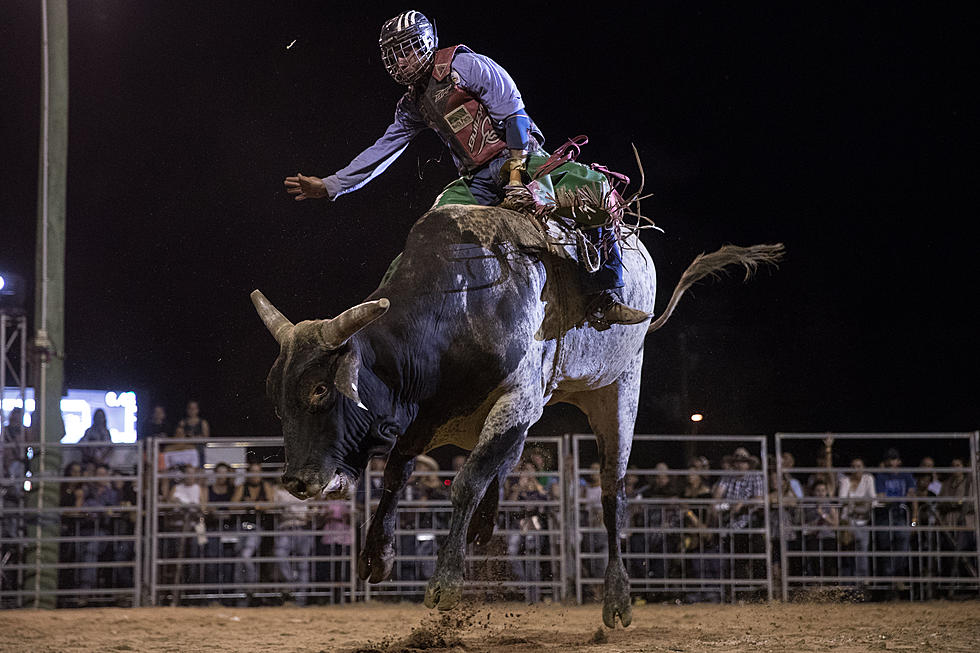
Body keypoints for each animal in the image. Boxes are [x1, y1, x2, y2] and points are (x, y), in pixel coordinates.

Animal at [251, 204, 780, 628]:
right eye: (274, 399)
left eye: (320, 389)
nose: (297, 481)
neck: (462, 300)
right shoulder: (430, 416)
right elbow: (399, 473)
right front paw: (377, 558)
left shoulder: (518, 401)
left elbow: (464, 482)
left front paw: (445, 583)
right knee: (503, 463)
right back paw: (486, 524)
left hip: (618, 389)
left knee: (612, 496)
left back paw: (617, 600)